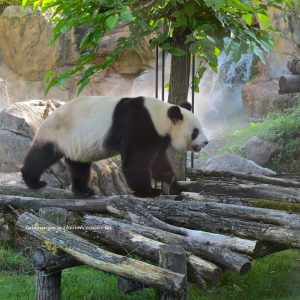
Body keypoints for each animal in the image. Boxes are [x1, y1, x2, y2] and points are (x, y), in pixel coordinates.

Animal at [21, 96, 209, 198]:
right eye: (195, 131)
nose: (206, 142)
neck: (161, 115)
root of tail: (47, 117)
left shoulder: (158, 135)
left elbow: (158, 162)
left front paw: (173, 182)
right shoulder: (140, 124)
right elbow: (136, 162)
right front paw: (148, 191)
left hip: (77, 144)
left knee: (79, 166)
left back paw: (84, 190)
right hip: (57, 133)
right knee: (41, 156)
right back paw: (34, 181)